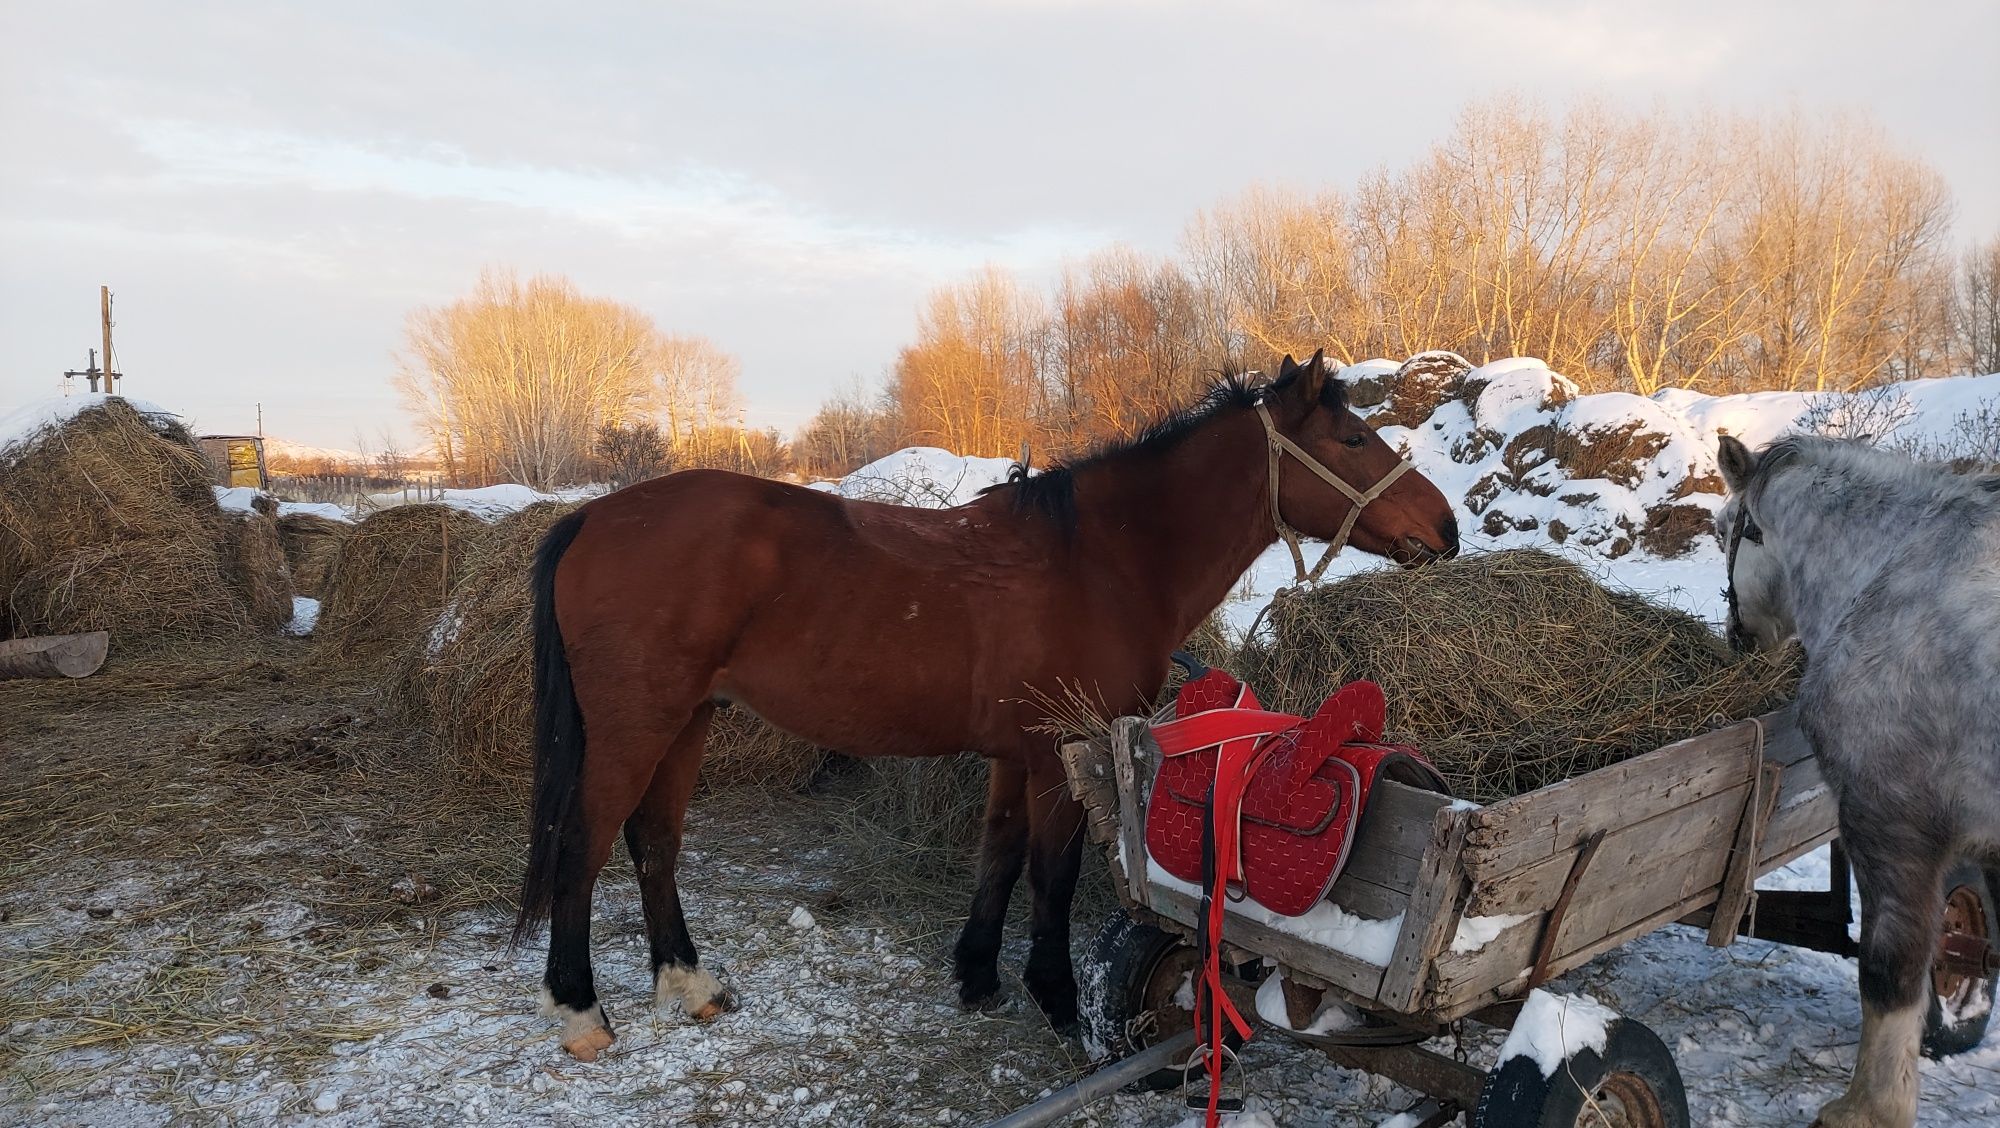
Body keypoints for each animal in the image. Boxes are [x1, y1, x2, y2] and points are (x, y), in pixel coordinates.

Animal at [512, 350, 1456, 1056]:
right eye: (1353, 437)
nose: (1445, 530)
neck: (1101, 560)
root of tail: (594, 518)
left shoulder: (1014, 756)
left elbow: (998, 857)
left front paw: (976, 977)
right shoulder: (1057, 753)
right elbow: (1051, 875)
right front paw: (1059, 999)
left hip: (689, 721)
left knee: (653, 843)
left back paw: (690, 983)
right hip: (638, 725)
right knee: (586, 844)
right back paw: (580, 1010)